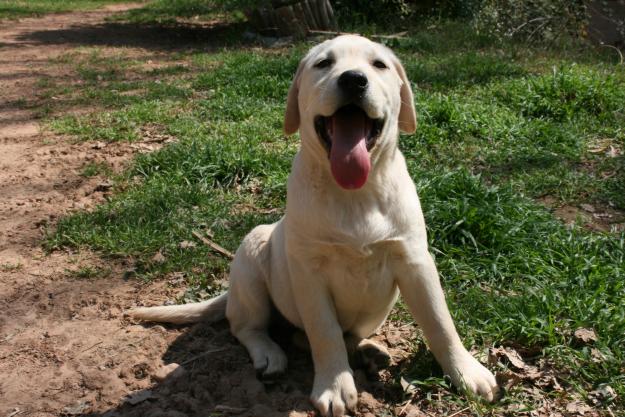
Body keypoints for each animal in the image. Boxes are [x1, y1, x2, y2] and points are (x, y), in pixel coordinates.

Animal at [130, 34, 498, 414]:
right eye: (324, 63)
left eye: (378, 65)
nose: (354, 80)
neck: (355, 193)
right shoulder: (309, 272)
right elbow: (324, 332)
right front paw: (335, 385)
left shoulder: (414, 260)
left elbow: (440, 322)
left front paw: (466, 372)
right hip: (252, 256)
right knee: (247, 327)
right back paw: (270, 354)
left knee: (327, 335)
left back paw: (368, 351)